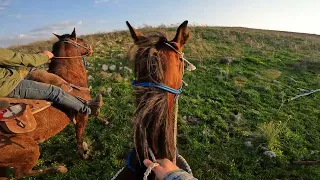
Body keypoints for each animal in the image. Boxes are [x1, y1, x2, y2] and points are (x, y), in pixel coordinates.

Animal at [0, 28, 100, 179]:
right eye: (81, 40)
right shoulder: (82, 116)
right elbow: (79, 136)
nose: (91, 48)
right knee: (21, 173)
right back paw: (59, 169)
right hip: (30, 149)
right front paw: (84, 154)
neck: (69, 80)